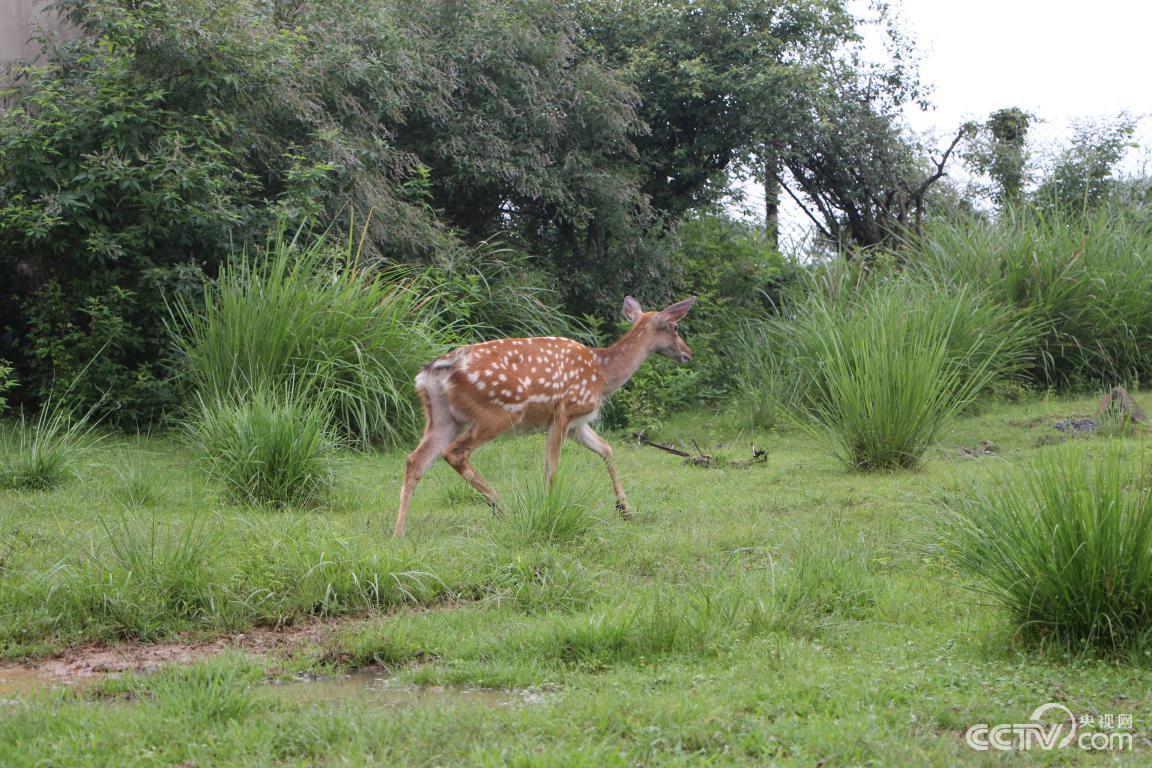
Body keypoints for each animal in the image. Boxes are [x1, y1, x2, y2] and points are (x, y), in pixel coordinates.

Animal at [393, 295, 696, 537]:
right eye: (675, 327)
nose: (689, 354)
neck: (603, 374)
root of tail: (435, 369)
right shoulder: (564, 410)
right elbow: (552, 467)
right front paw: (549, 509)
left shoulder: (578, 424)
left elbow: (607, 449)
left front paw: (625, 509)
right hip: (500, 412)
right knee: (455, 453)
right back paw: (501, 506)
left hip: (443, 417)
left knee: (415, 460)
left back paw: (400, 532)